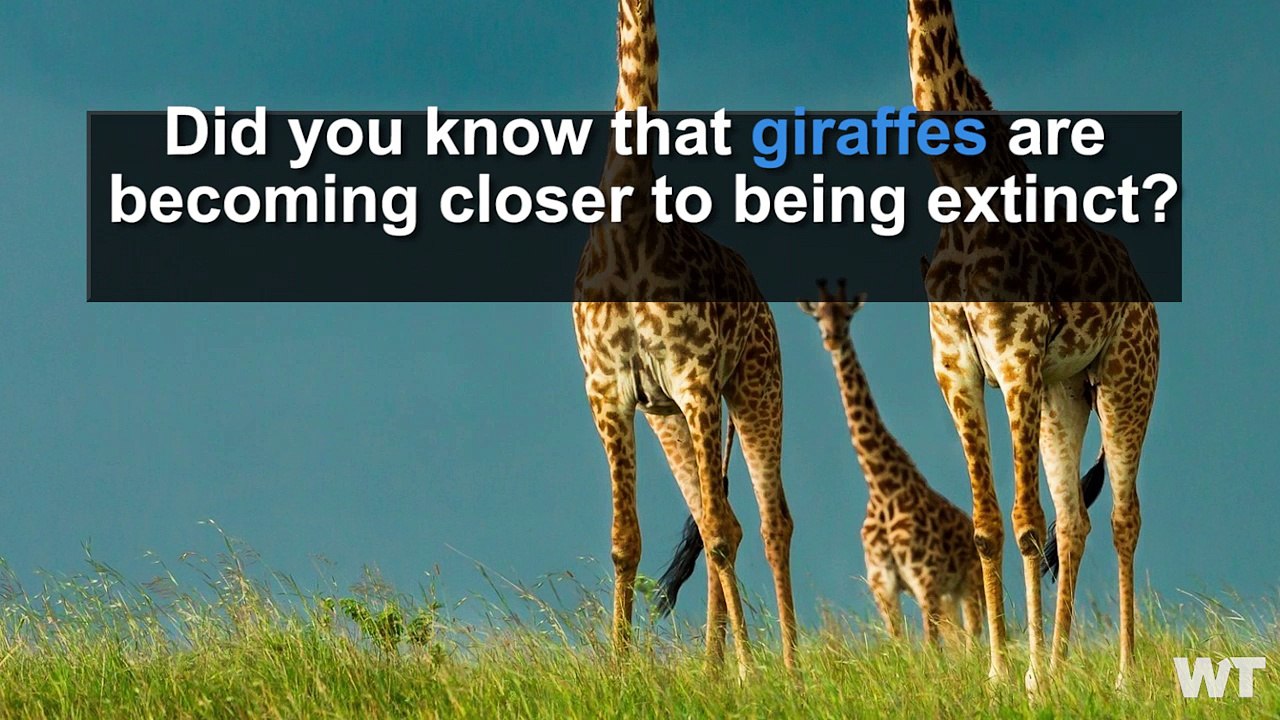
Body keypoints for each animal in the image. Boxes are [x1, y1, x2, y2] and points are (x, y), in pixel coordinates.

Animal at [572, 0, 797, 674]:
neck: (629, 232)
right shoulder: (610, 389)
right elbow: (625, 540)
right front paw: (618, 666)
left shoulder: (694, 376)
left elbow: (719, 535)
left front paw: (750, 670)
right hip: (667, 413)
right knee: (719, 513)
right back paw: (710, 667)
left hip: (755, 382)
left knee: (768, 522)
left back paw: (786, 667)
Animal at [800, 279, 982, 646]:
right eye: (817, 317)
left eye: (846, 314)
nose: (832, 339)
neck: (883, 488)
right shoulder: (883, 585)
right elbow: (900, 643)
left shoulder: (924, 579)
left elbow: (930, 647)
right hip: (949, 594)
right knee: (961, 642)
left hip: (968, 583)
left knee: (973, 638)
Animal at [907, 0, 1160, 690]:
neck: (960, 179)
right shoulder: (956, 367)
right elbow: (988, 525)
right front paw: (1002, 672)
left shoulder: (1015, 356)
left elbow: (1024, 522)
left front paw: (1030, 679)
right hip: (1064, 393)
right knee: (1074, 519)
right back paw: (1061, 660)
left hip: (1128, 377)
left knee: (1124, 516)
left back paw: (1123, 674)